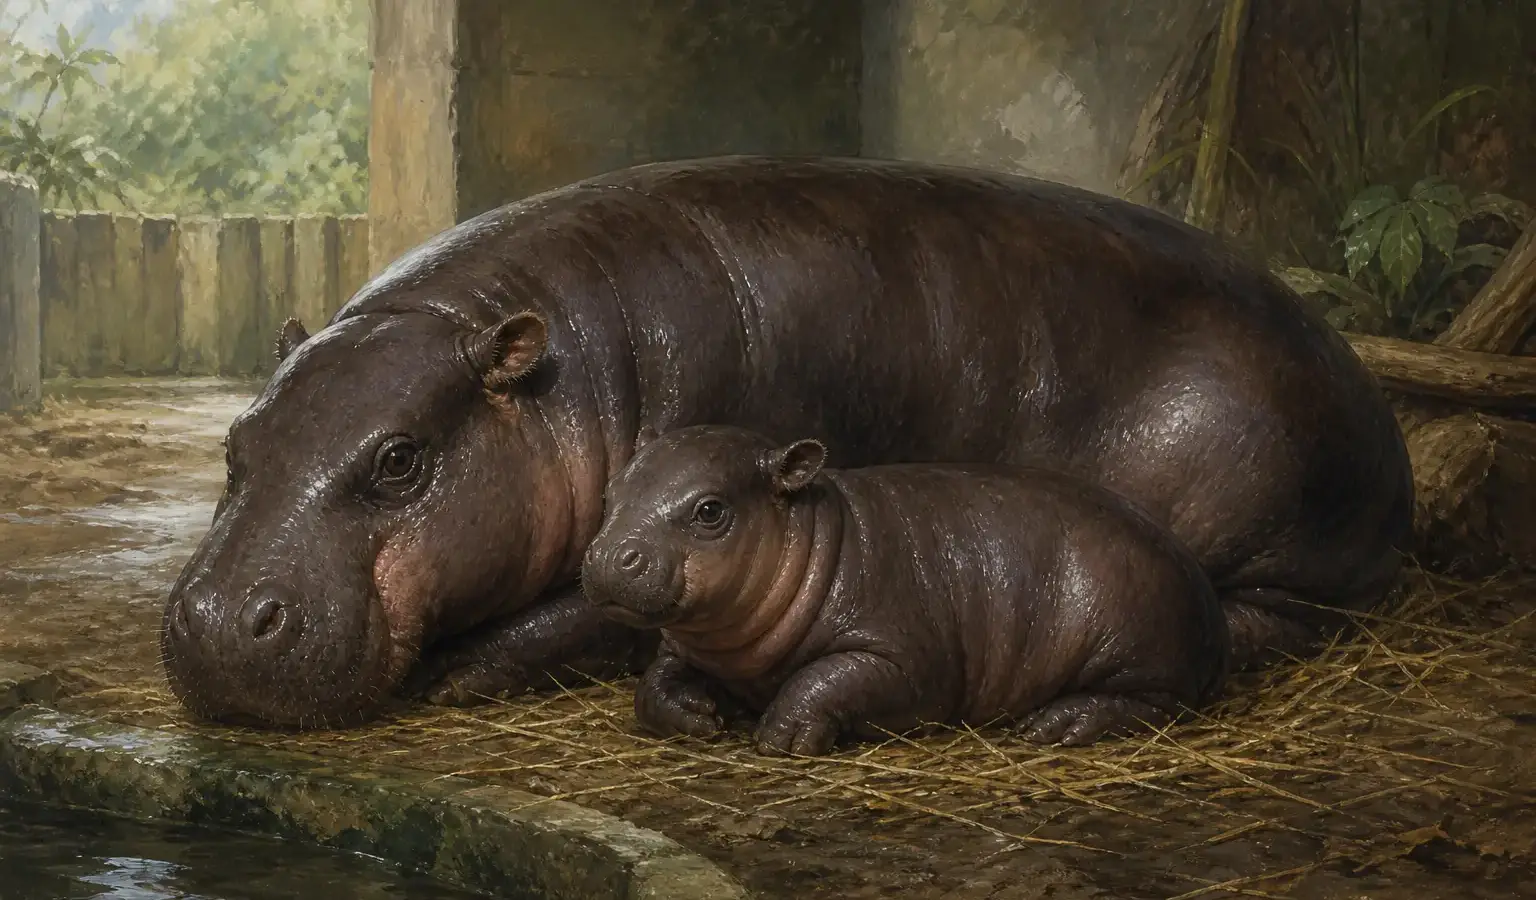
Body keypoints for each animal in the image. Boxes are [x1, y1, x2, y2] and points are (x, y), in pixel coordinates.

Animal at [580, 425, 1231, 754]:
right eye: (612, 491)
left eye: (710, 510)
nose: (610, 555)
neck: (820, 539)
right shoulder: (691, 647)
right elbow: (652, 683)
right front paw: (697, 716)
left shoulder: (904, 657)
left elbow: (825, 678)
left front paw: (782, 737)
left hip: (1137, 644)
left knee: (1149, 704)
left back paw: (1055, 726)